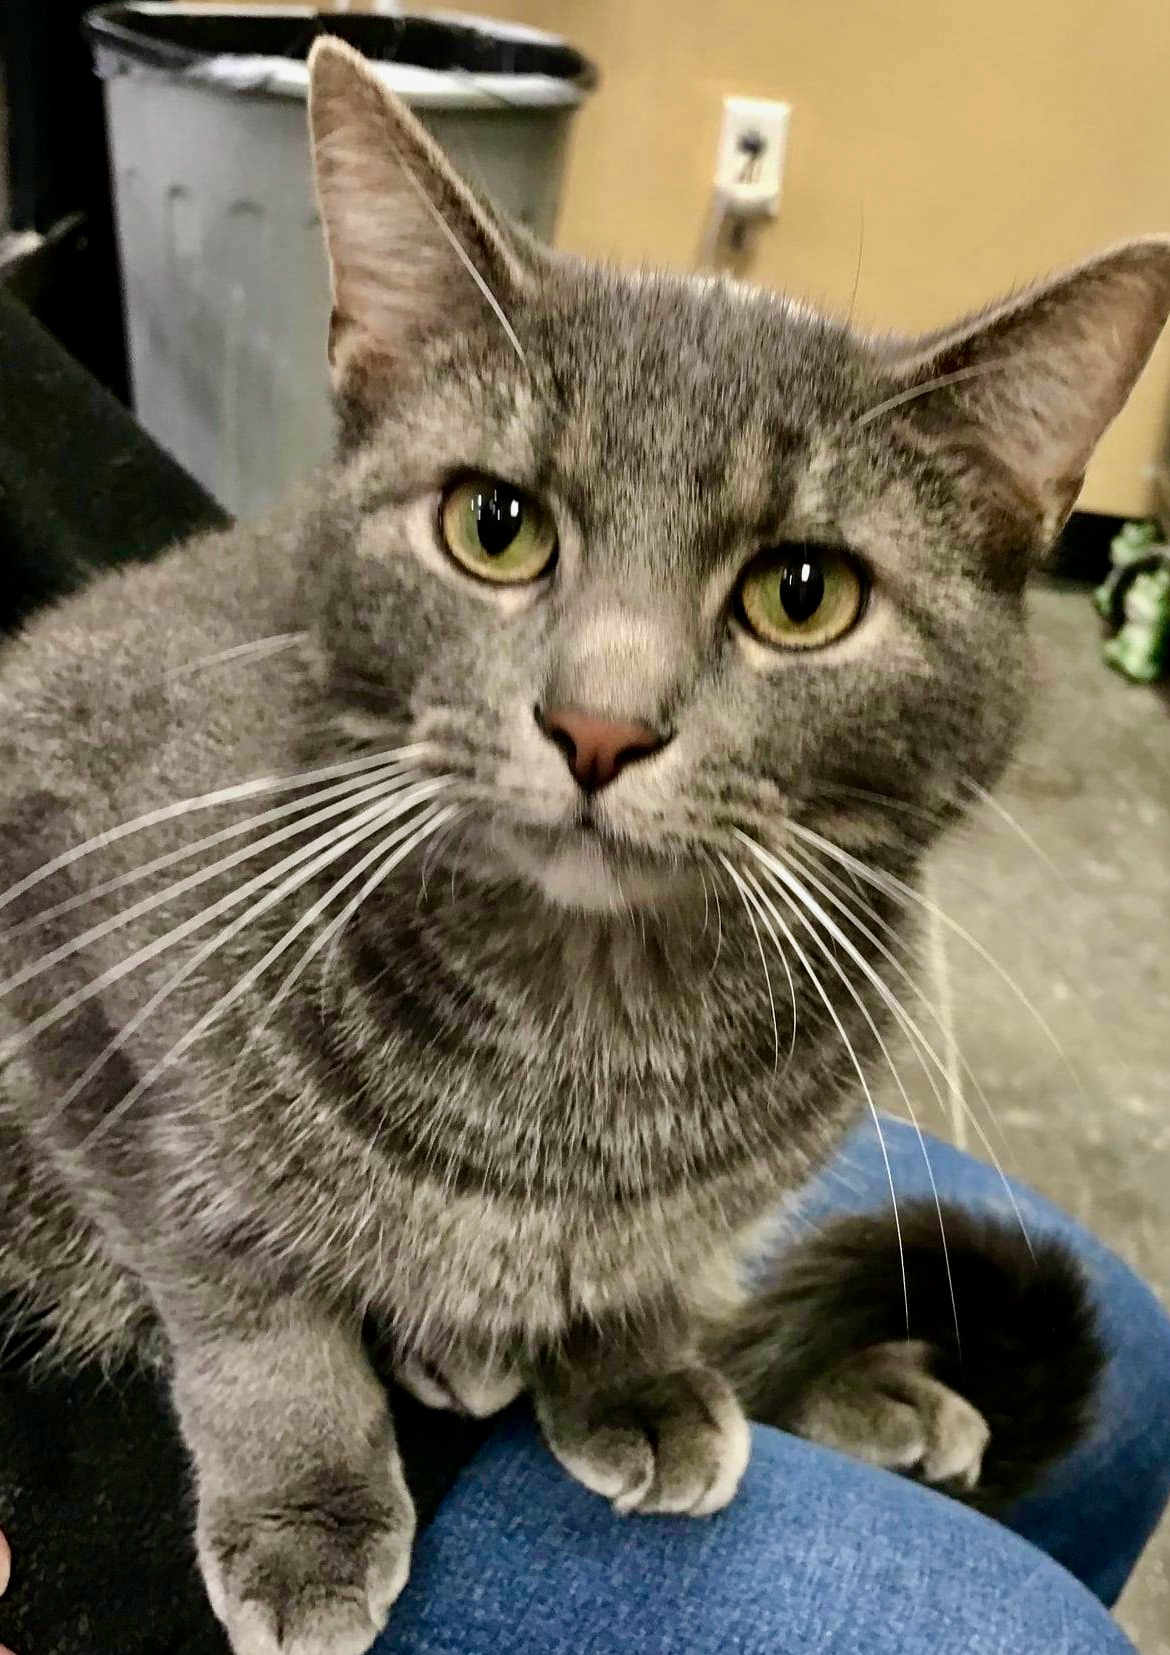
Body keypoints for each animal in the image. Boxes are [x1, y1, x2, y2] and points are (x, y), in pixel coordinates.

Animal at [0, 33, 1160, 1655]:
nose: (598, 724)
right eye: (497, 526)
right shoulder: (65, 971)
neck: (580, 1039)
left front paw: (634, 1361)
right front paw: (307, 1494)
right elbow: (236, 1272)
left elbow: (655, 1264)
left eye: (802, 591)